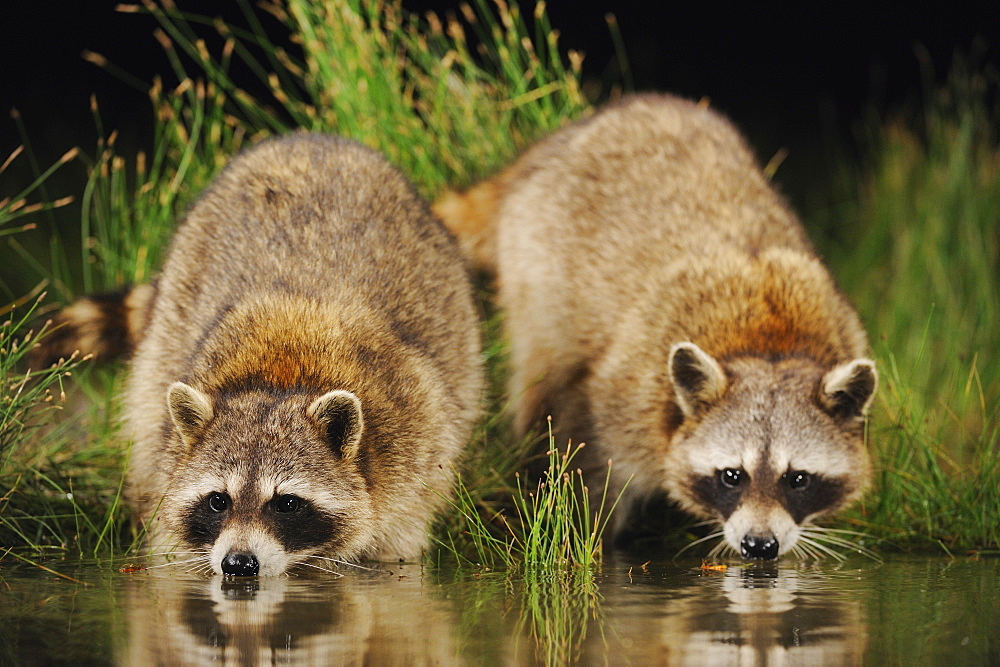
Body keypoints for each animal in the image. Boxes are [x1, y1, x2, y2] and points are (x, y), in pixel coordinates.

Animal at [41, 134, 486, 576]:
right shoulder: (171, 462)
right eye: (218, 500)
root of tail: (311, 140)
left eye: (287, 503)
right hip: (169, 321)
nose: (239, 564)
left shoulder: (411, 448)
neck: (280, 378)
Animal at [434, 94, 880, 560]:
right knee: (541, 383)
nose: (759, 545)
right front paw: (589, 535)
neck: (770, 343)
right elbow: (592, 465)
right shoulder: (629, 393)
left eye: (797, 479)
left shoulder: (845, 326)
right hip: (535, 271)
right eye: (732, 475)